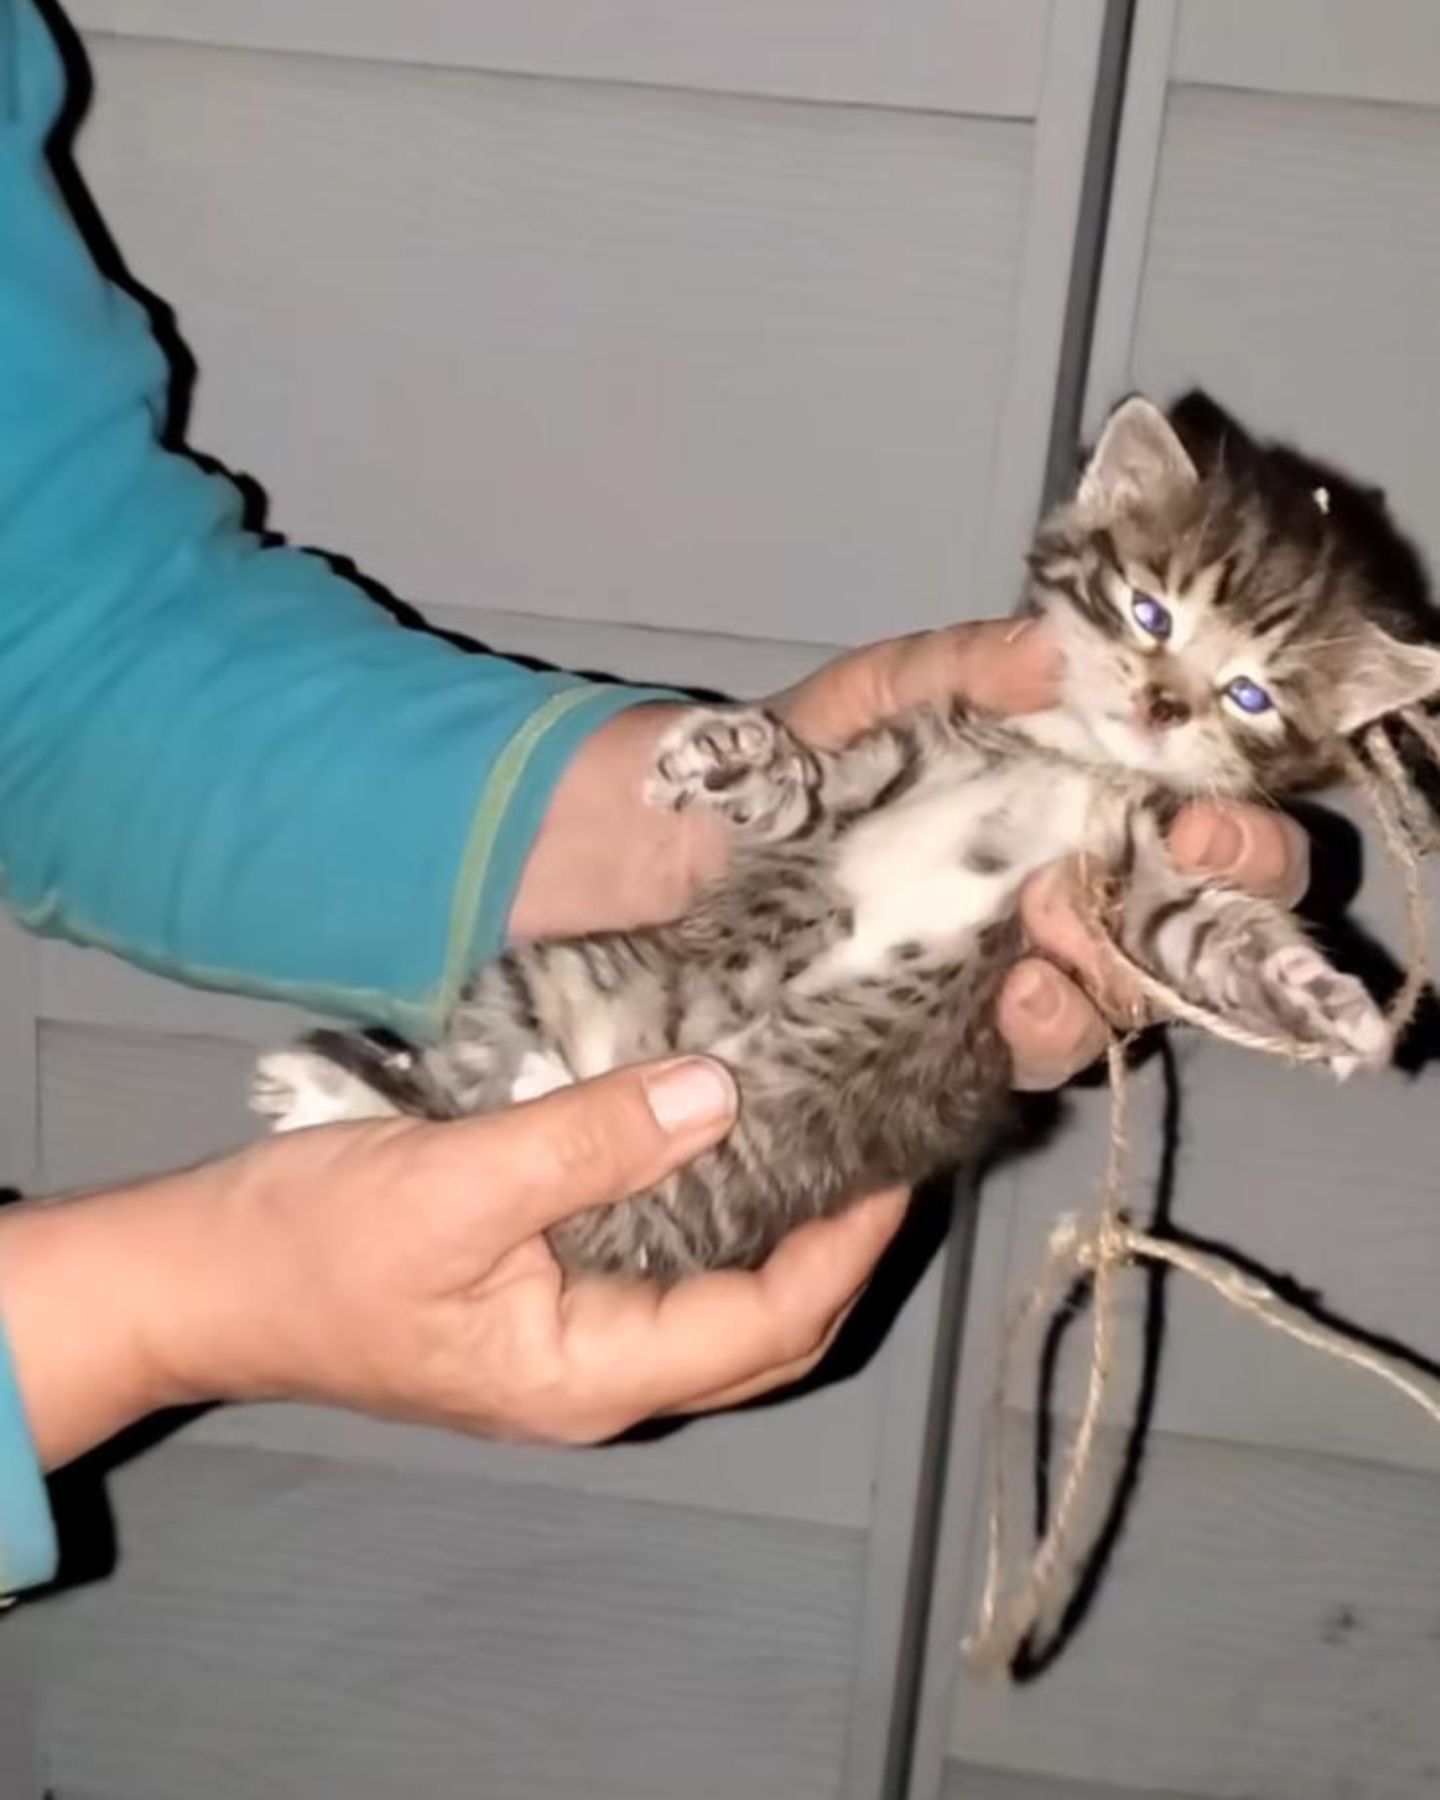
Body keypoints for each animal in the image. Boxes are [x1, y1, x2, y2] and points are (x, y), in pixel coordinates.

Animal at [248, 401, 1440, 1288]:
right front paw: (725, 752)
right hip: (551, 974)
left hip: (716, 1165)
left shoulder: (1128, 873)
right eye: (1151, 614)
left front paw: (1326, 999)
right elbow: (797, 796)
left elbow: (1206, 932)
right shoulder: (885, 769)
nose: (1161, 705)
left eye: (1248, 696)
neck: (1067, 759)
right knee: (468, 1093)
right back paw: (353, 1093)